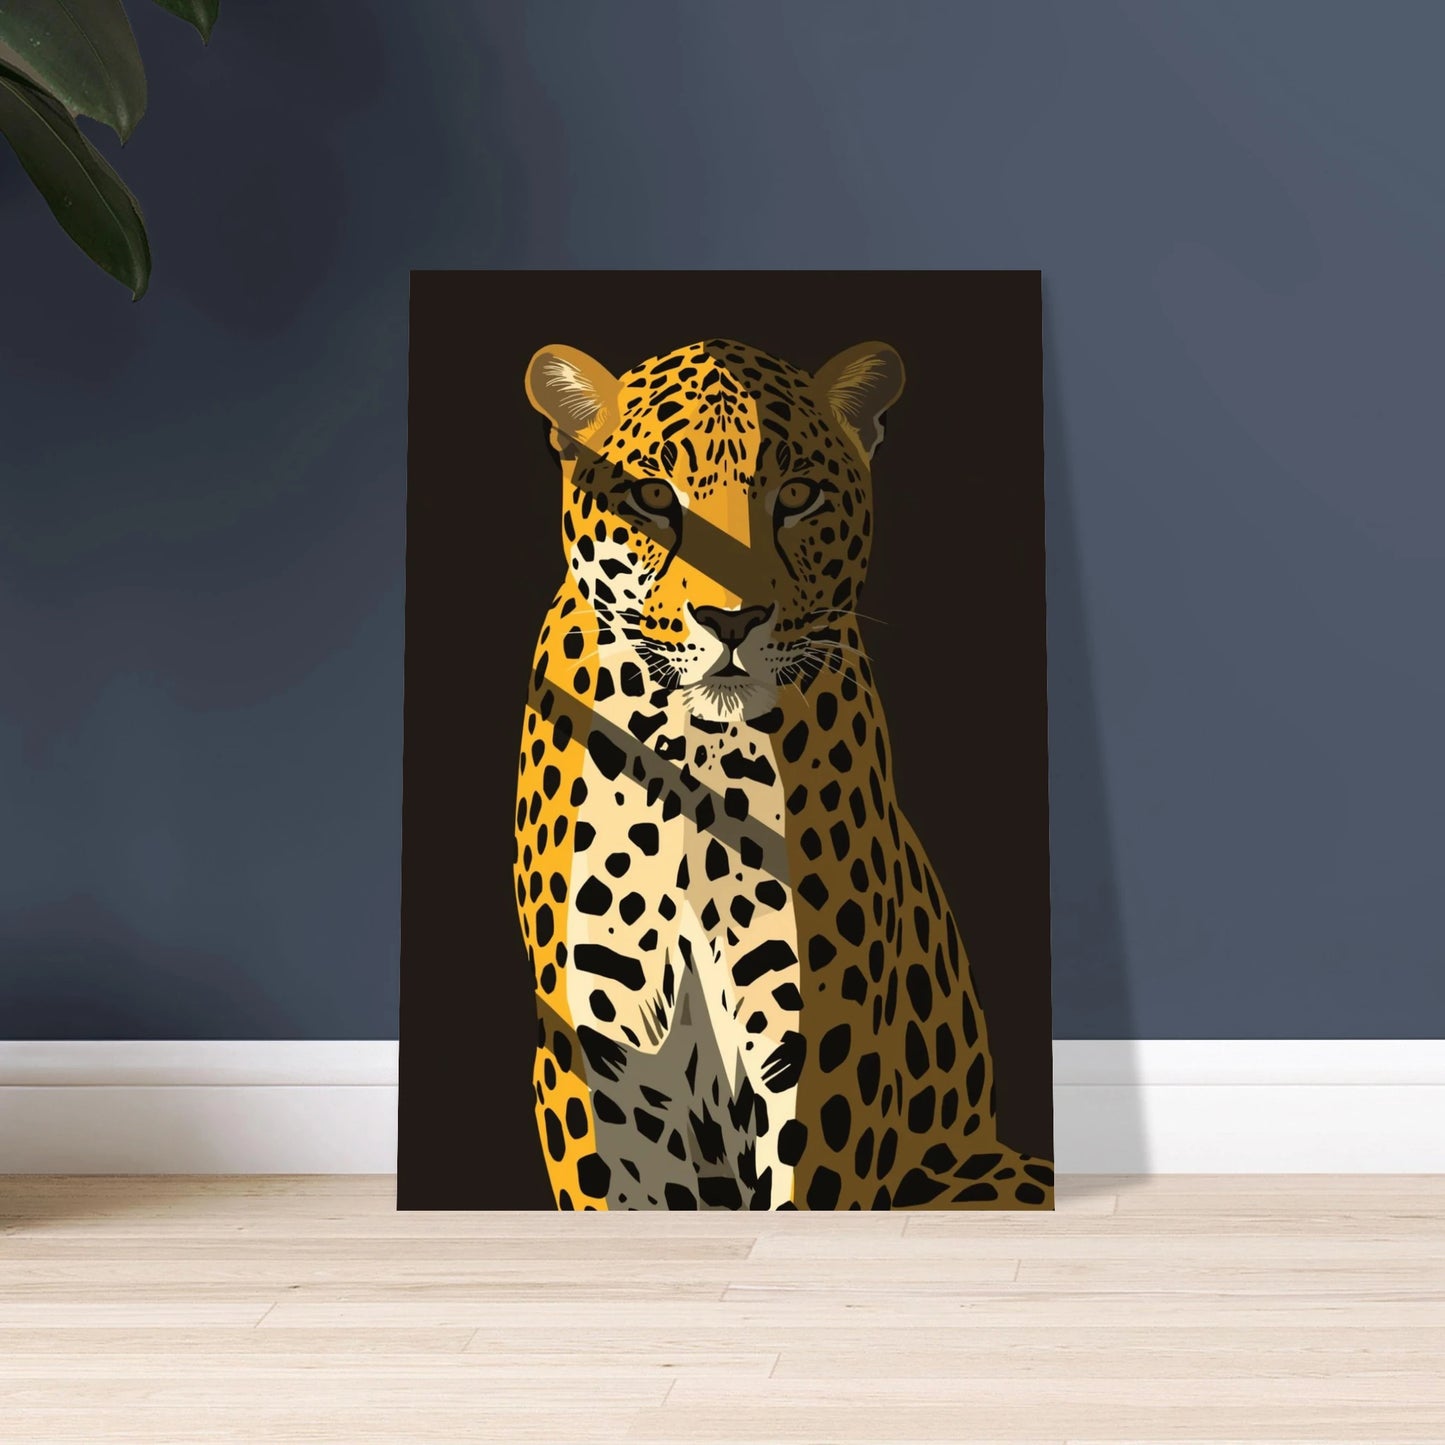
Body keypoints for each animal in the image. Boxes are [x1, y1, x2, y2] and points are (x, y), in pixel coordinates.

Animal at [512, 336, 1053, 1210]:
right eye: (653, 495)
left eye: (796, 495)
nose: (731, 619)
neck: (693, 753)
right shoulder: (600, 1049)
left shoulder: (822, 1040)